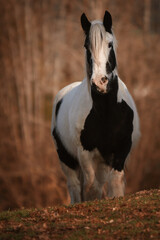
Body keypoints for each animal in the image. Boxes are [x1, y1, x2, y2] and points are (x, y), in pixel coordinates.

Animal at [51, 10, 140, 203]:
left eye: (110, 44)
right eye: (86, 46)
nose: (100, 82)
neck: (106, 113)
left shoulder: (121, 149)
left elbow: (114, 184)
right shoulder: (85, 153)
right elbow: (92, 188)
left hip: (102, 161)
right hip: (66, 158)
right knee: (75, 187)